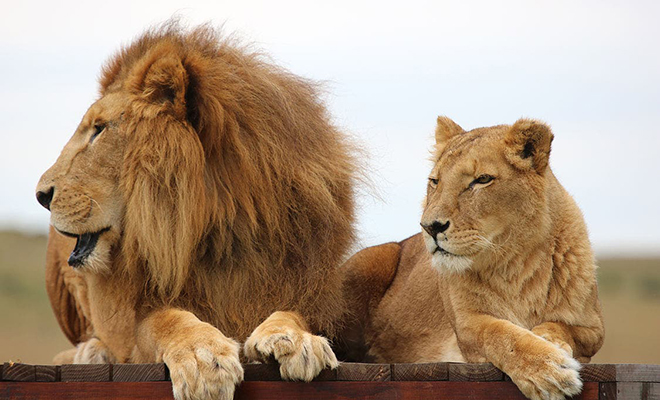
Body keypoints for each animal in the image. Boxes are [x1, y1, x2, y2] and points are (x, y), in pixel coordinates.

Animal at [36, 22, 358, 400]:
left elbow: (293, 313)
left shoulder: (304, 289)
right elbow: (165, 319)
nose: (40, 195)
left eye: (99, 130)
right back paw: (92, 351)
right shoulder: (135, 326)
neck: (220, 231)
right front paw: (203, 358)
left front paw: (295, 339)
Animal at [338, 117, 604, 400]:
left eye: (482, 179)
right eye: (435, 181)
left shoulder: (594, 329)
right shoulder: (467, 326)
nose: (429, 227)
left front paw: (549, 341)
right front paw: (547, 369)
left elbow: (562, 327)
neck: (515, 263)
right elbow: (501, 334)